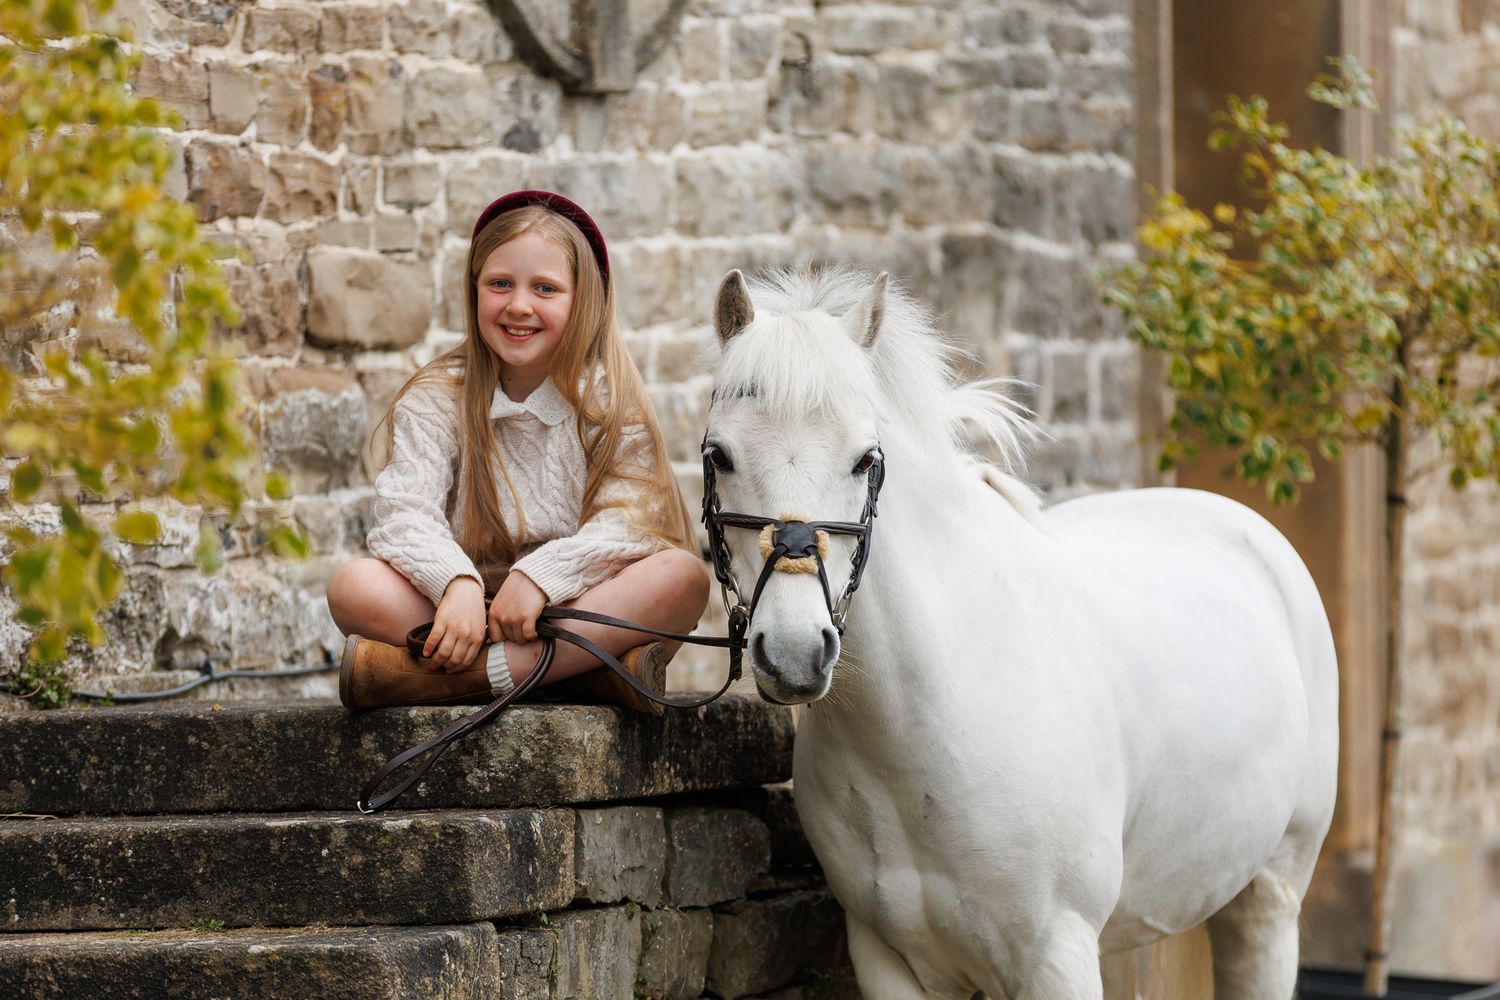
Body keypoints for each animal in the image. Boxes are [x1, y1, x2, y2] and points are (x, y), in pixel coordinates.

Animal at [699, 266, 1340, 1000]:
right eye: (720, 455)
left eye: (865, 459)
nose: (795, 653)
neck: (925, 725)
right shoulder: (889, 961)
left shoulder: (1056, 956)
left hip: (1270, 893)